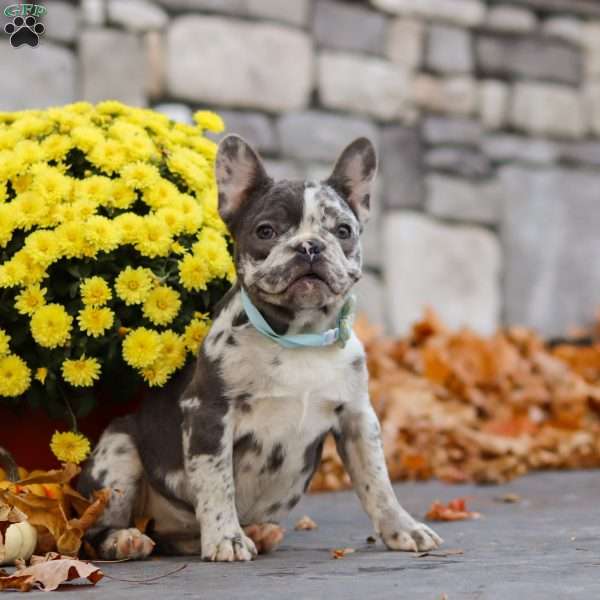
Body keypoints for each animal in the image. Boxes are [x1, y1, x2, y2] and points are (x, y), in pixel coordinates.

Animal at [79, 136, 442, 564]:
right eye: (266, 231)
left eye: (343, 230)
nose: (309, 246)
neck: (299, 336)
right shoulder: (210, 415)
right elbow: (217, 482)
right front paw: (226, 538)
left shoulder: (357, 418)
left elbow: (378, 482)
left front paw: (403, 528)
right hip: (118, 450)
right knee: (93, 528)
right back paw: (125, 539)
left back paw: (257, 532)